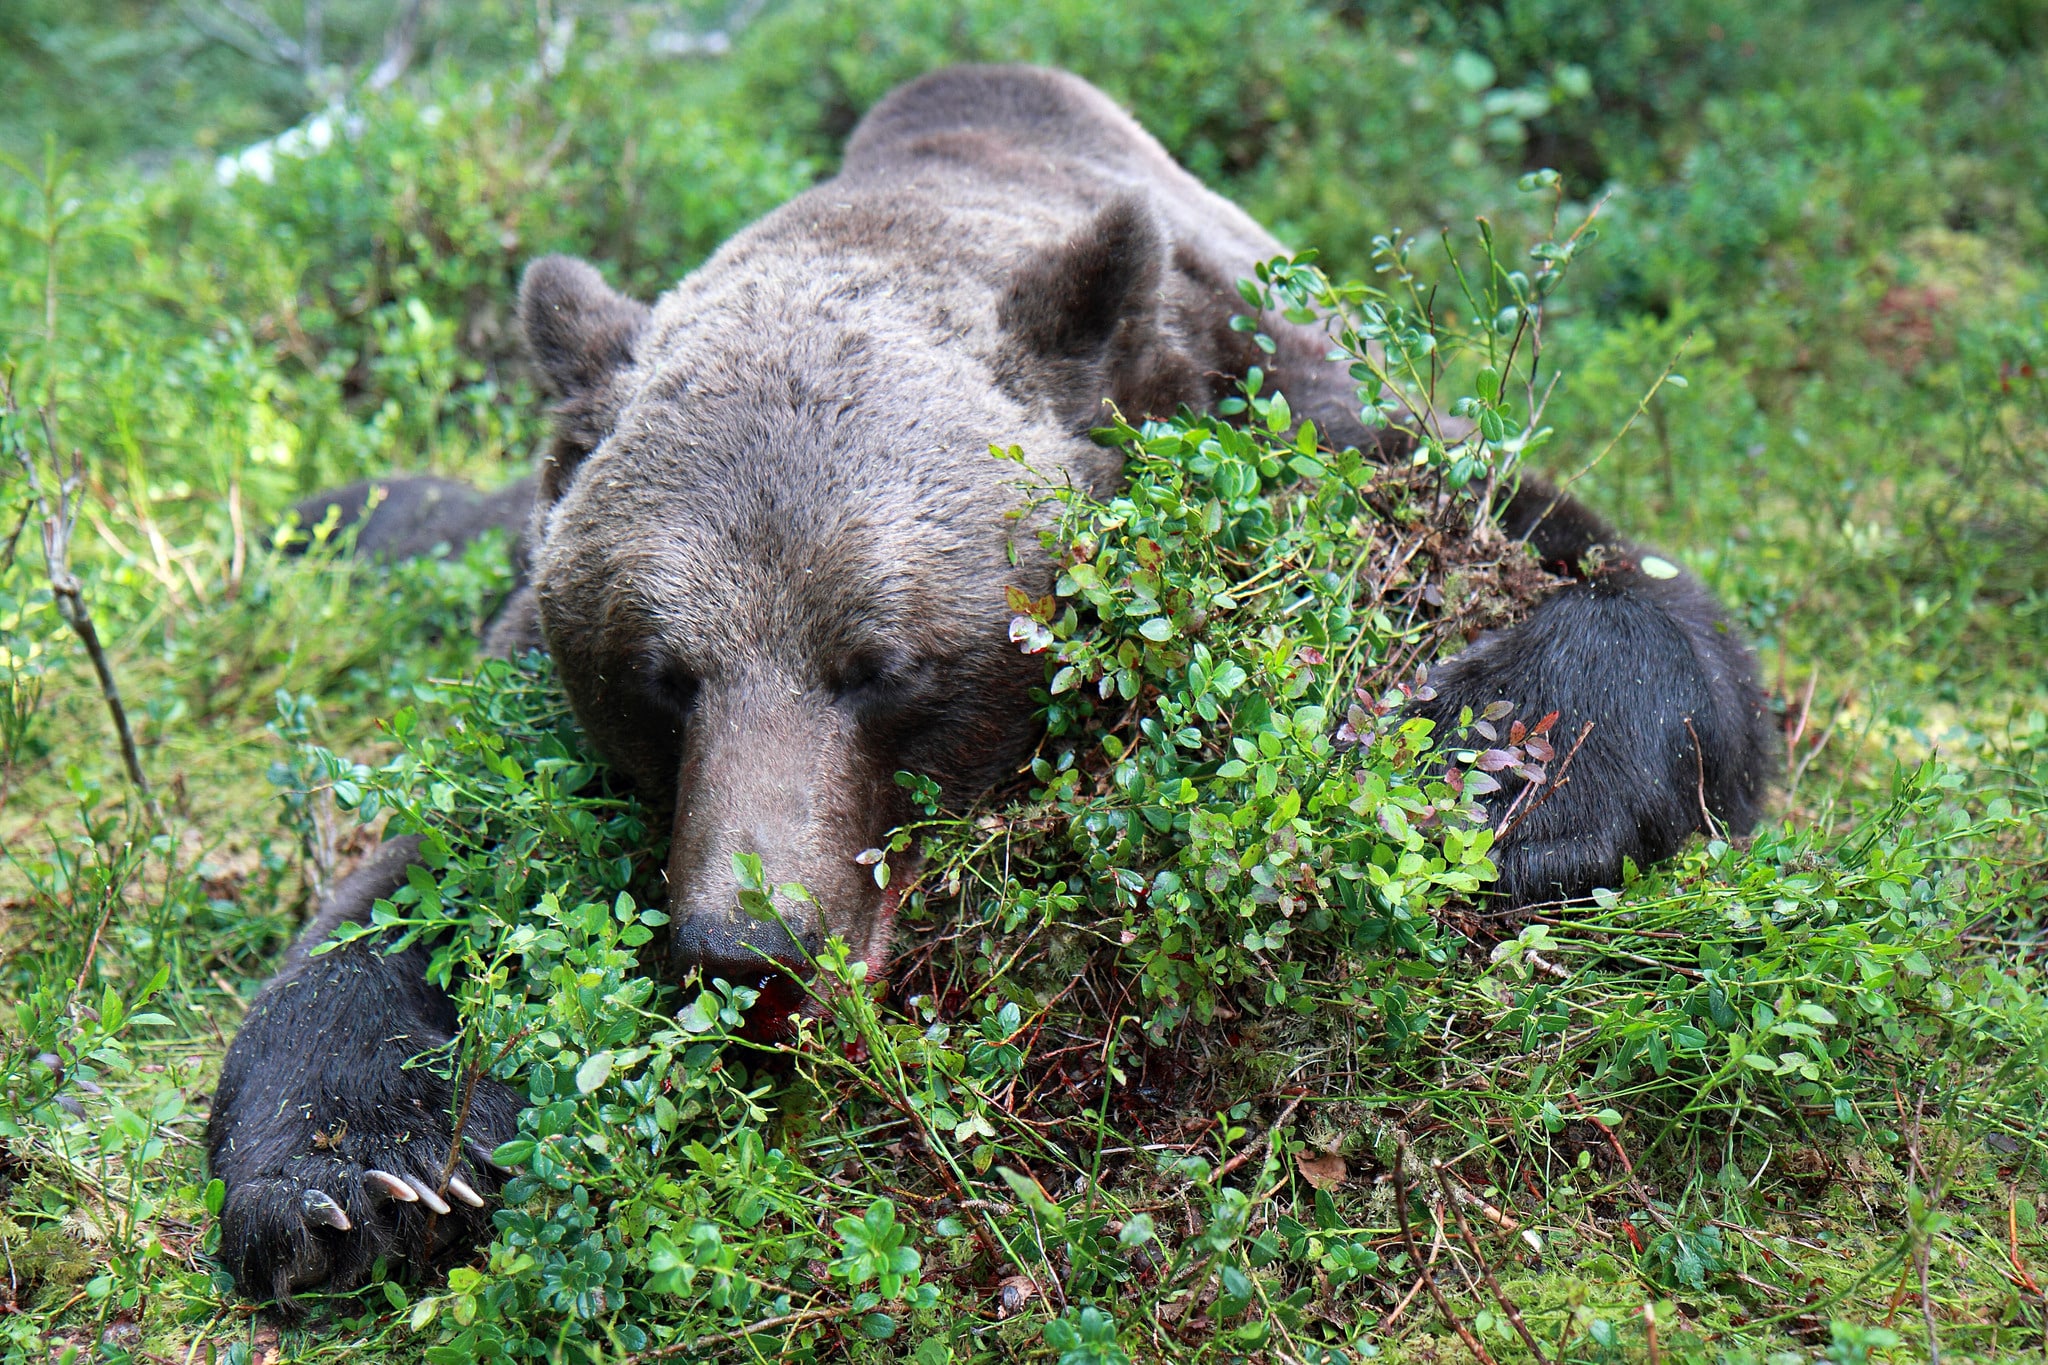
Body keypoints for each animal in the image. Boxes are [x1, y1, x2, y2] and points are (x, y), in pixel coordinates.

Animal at [211, 63, 1777, 1301]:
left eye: (883, 665)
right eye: (659, 676)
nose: (747, 947)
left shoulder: (1312, 417)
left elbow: (1613, 588)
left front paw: (1500, 777)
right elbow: (419, 875)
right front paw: (348, 1179)